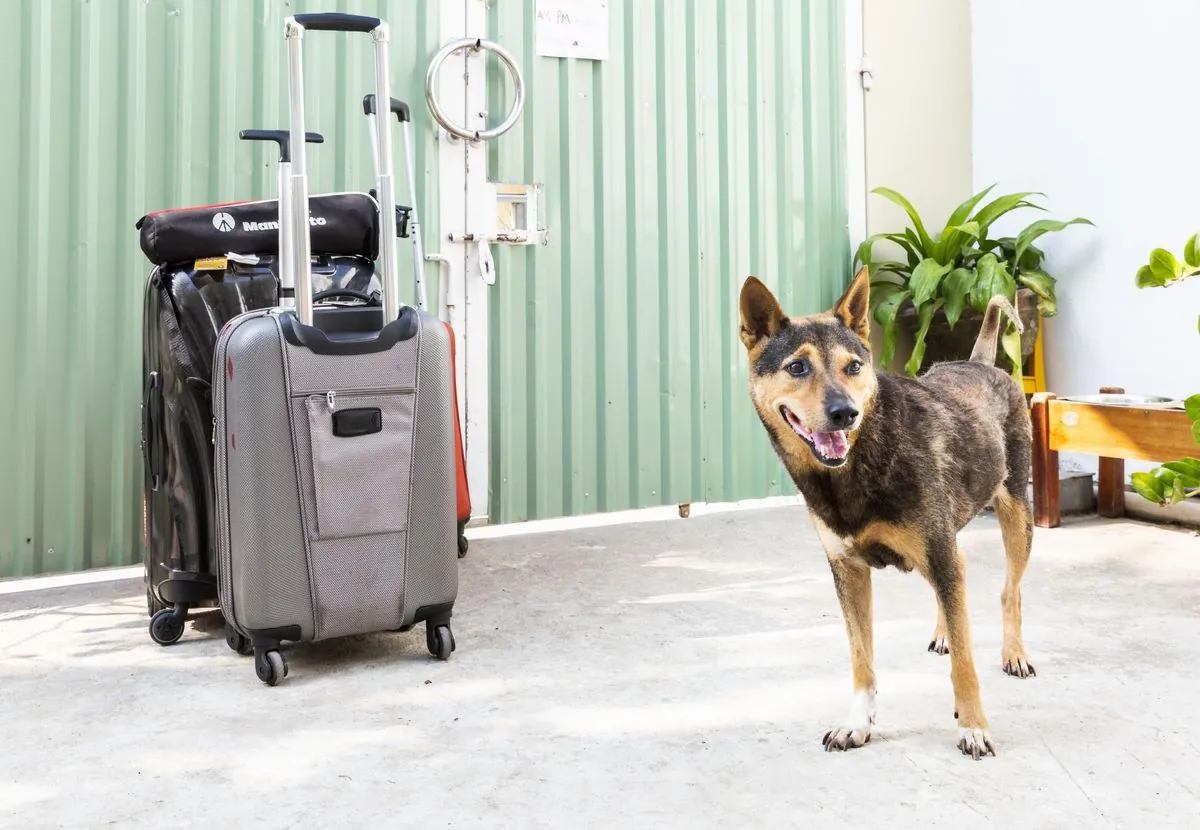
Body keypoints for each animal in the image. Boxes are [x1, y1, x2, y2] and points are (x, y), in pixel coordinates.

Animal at [734, 268, 1036, 762]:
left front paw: (973, 727)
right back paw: (945, 632)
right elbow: (862, 659)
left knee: (1010, 591)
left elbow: (966, 664)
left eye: (854, 366)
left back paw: (1014, 654)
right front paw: (857, 724)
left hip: (1016, 514)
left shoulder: (939, 550)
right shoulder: (848, 569)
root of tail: (981, 362)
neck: (857, 462)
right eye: (797, 367)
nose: (845, 413)